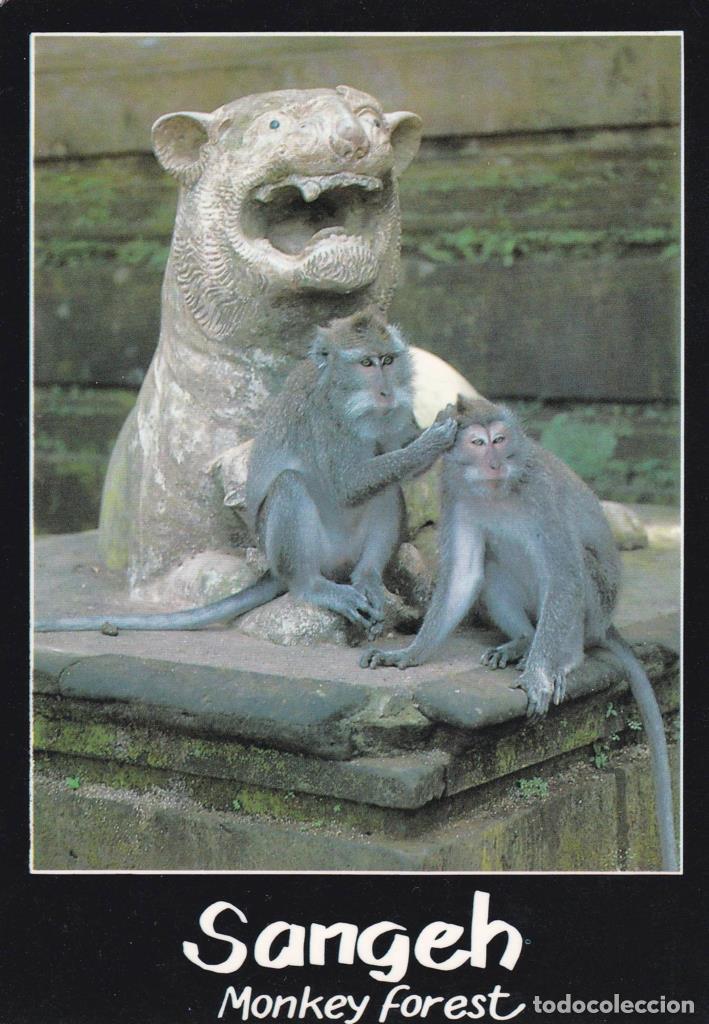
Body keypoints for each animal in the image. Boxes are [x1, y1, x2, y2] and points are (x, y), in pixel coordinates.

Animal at [36, 308, 457, 637]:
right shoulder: (325, 421)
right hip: (302, 552)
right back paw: (312, 587)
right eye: (366, 364)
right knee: (291, 487)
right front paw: (431, 441)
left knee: (387, 492)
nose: (387, 393)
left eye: (388, 360)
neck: (351, 400)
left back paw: (368, 577)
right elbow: (347, 485)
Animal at [360, 395, 678, 871]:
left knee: (570, 572)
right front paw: (407, 654)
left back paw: (561, 658)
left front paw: (540, 676)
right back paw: (521, 642)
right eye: (477, 443)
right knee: (493, 564)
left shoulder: (541, 495)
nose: (493, 463)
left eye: (500, 440)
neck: (496, 492)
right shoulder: (457, 497)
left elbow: (563, 573)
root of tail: (608, 623)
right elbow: (464, 577)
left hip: (596, 606)